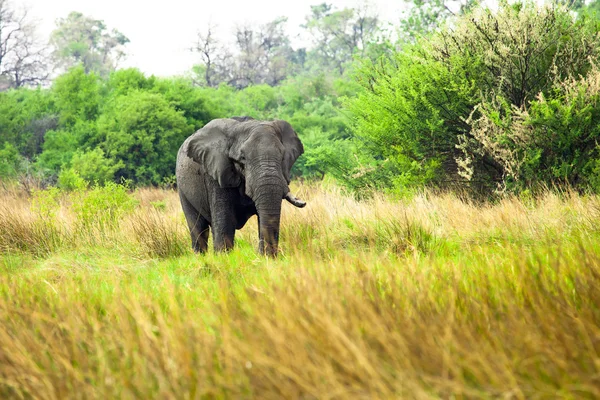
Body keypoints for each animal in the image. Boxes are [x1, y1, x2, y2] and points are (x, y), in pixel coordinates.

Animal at [173, 117, 304, 258]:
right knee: (198, 228)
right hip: (183, 189)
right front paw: (224, 257)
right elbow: (224, 222)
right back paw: (200, 257)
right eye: (243, 158)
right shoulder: (216, 174)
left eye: (282, 157)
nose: (262, 255)